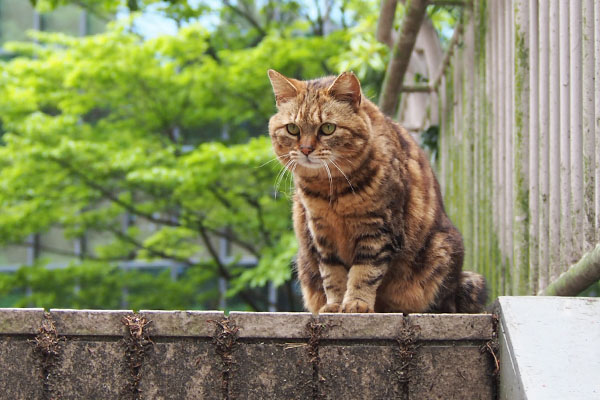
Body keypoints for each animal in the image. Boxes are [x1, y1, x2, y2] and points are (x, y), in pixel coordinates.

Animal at [268, 70, 488, 314]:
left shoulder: (378, 228)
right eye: (292, 129)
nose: (306, 150)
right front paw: (335, 305)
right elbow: (332, 275)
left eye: (327, 128)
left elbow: (365, 272)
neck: (331, 191)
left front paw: (356, 303)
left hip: (443, 255)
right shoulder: (322, 233)